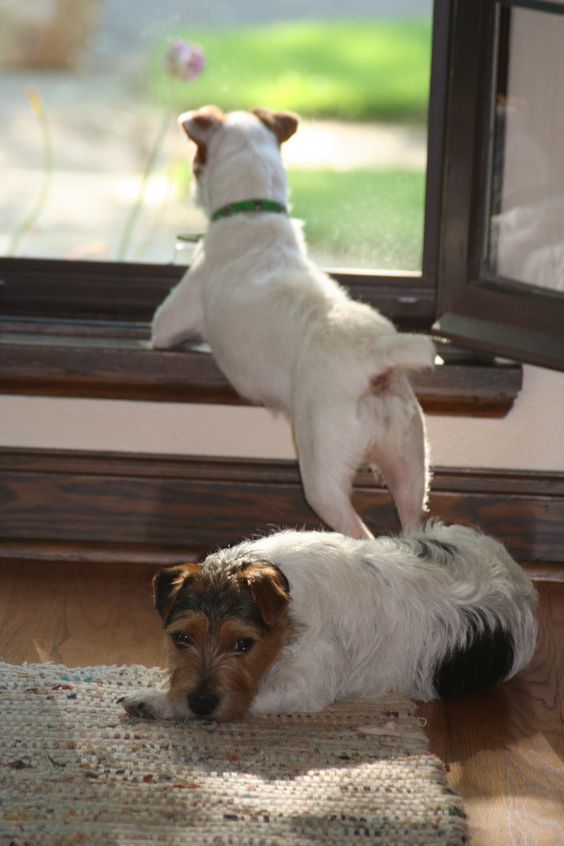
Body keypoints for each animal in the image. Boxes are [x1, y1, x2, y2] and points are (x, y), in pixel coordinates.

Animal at [120, 520, 536, 724]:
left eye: (243, 644)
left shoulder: (303, 686)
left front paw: (153, 699)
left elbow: (251, 698)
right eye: (181, 638)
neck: (291, 609)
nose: (202, 702)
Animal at [150, 106, 436, 540]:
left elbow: (162, 330)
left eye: (195, 160)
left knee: (361, 533)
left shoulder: (171, 319)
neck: (255, 214)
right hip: (410, 463)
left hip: (323, 473)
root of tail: (375, 355)